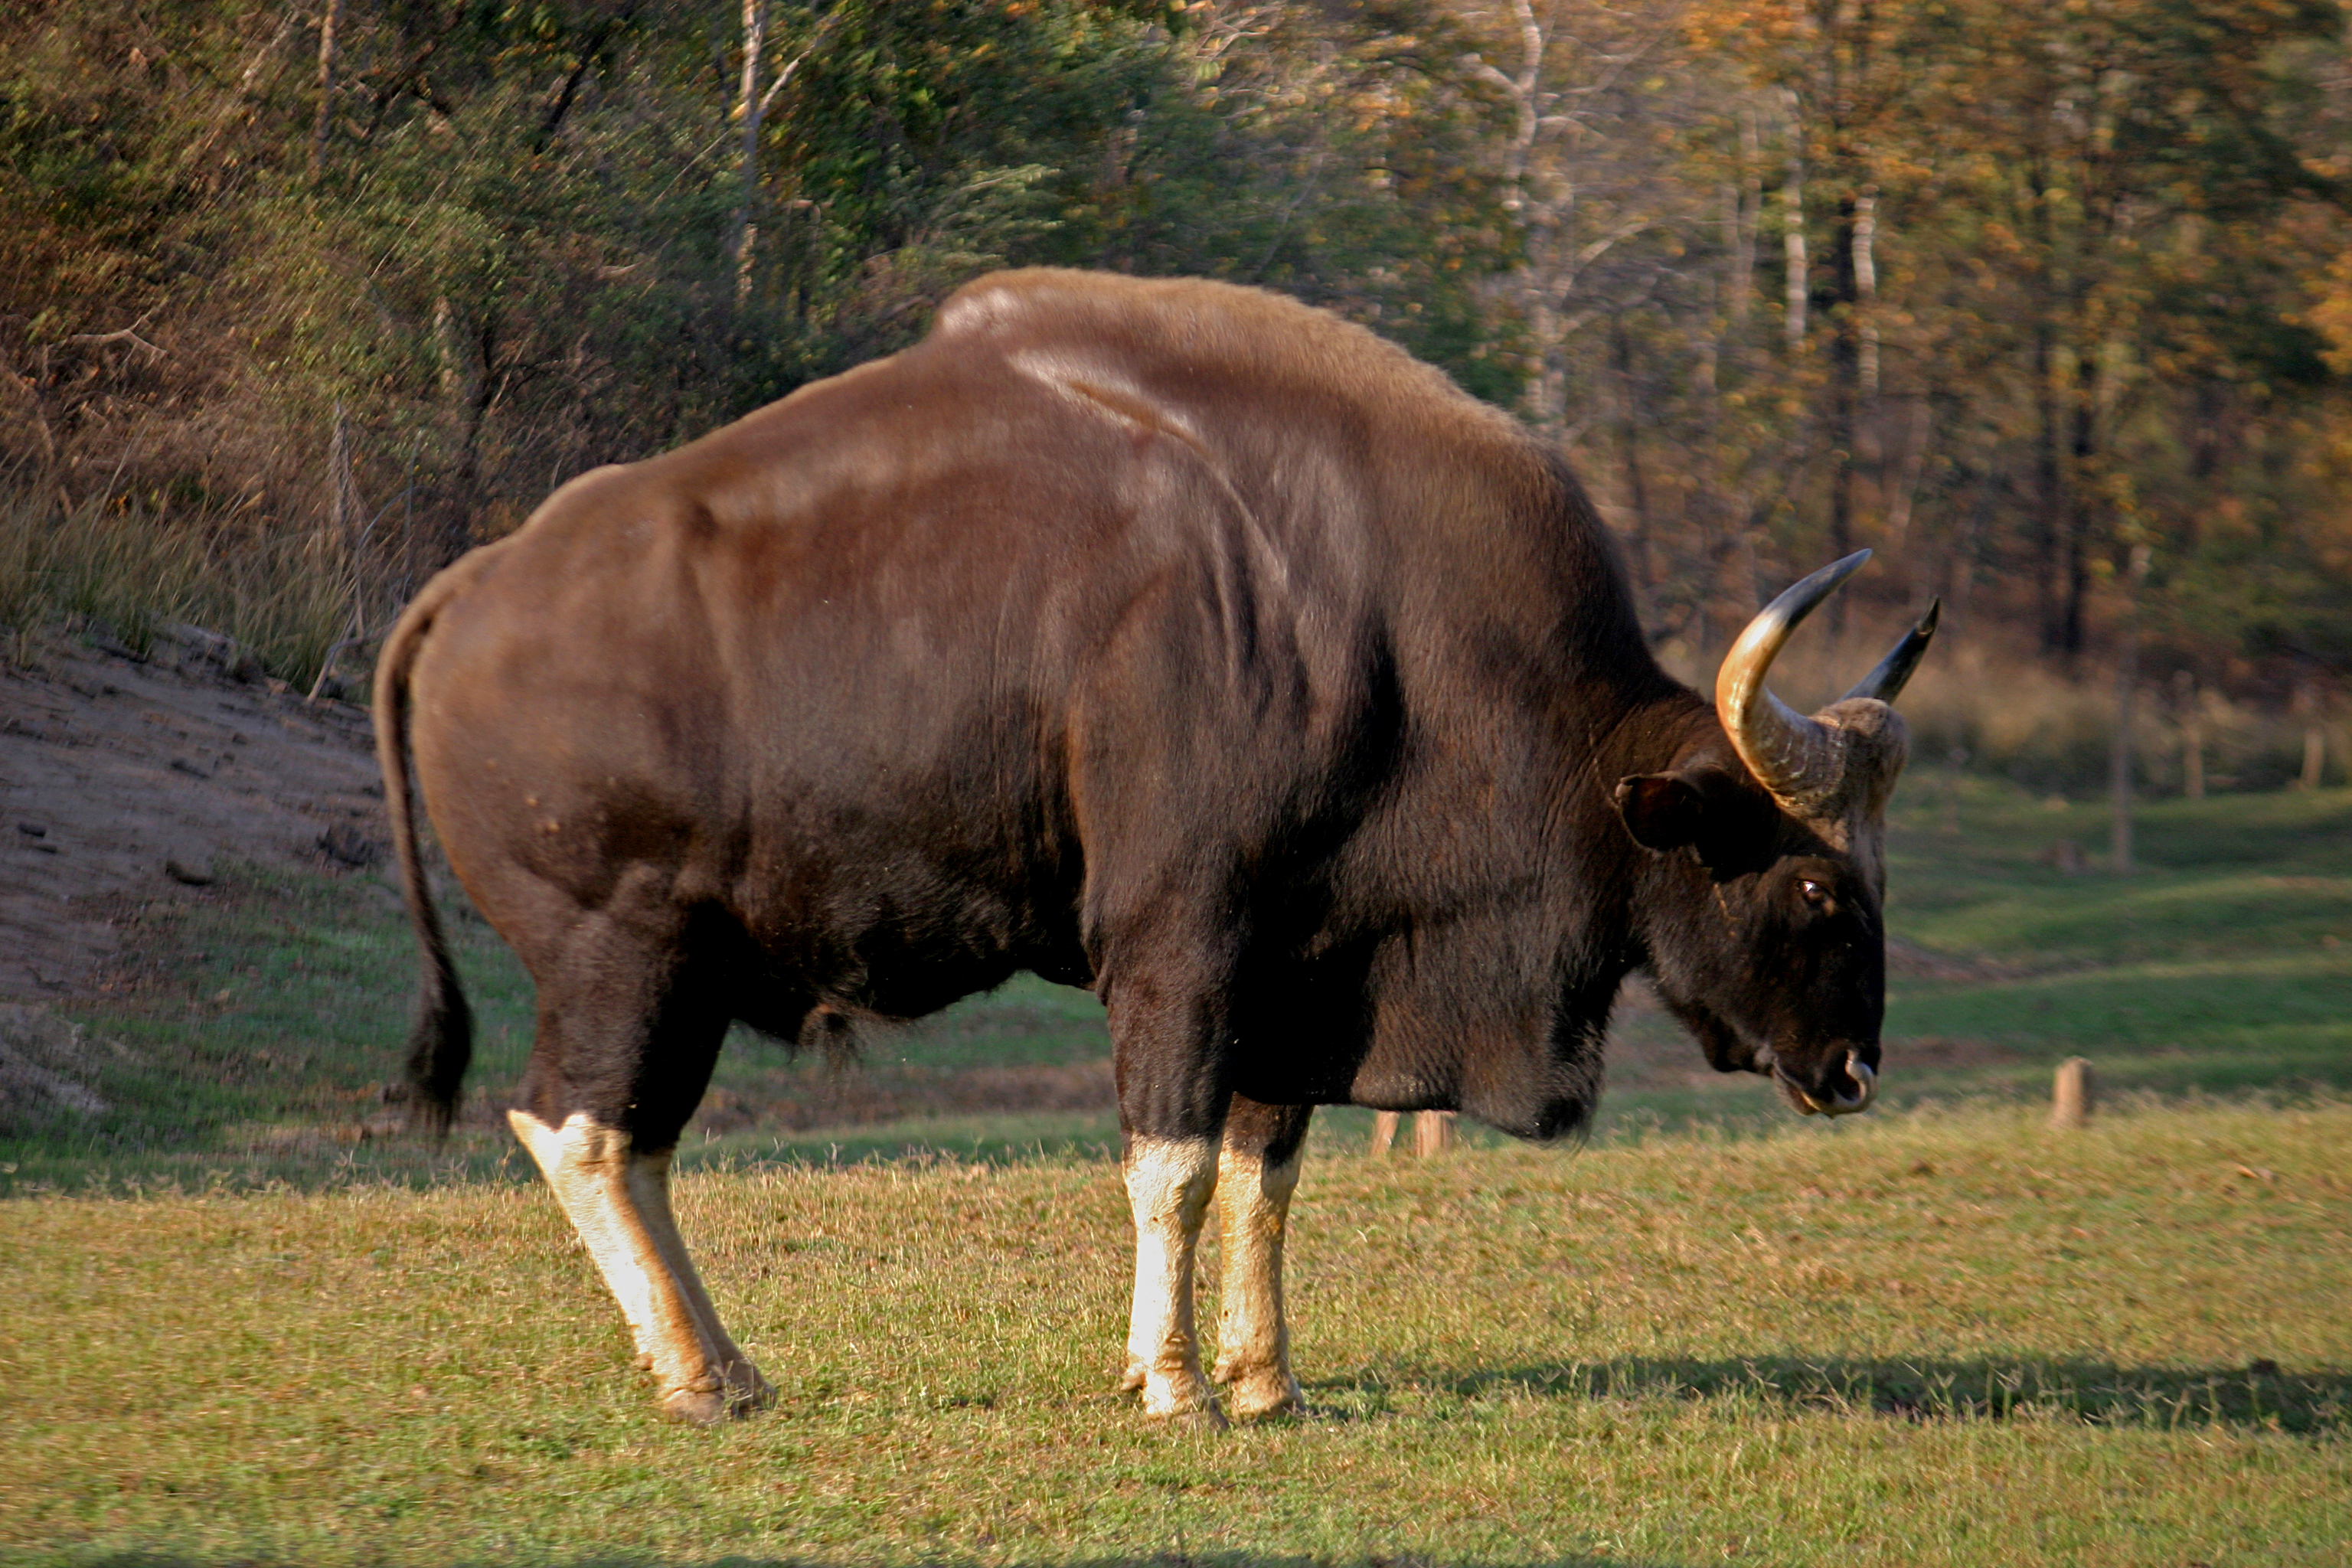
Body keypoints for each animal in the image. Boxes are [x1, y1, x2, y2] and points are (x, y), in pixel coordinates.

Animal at [376, 266, 1938, 1419]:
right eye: (1811, 881)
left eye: (1873, 874)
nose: (1856, 1068)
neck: (1373, 635)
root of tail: (468, 590)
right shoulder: (1180, 948)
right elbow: (1170, 1163)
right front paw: (1174, 1384)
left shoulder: (1301, 973)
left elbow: (1264, 1171)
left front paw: (1265, 1382)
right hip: (621, 954)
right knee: (578, 1127)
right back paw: (700, 1378)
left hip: (683, 974)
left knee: (632, 1141)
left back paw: (731, 1366)